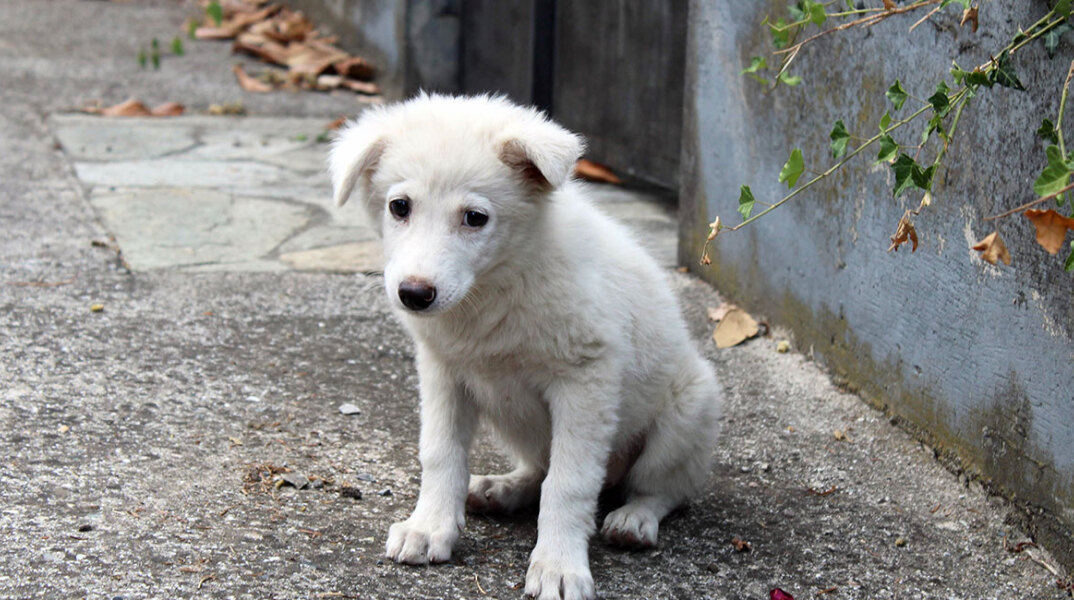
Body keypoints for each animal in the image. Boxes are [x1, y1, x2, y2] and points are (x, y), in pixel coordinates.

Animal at [328, 94, 721, 600]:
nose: (414, 294)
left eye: (475, 218)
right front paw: (429, 526)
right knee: (539, 467)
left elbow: (568, 483)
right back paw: (504, 488)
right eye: (399, 206)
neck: (497, 284)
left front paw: (558, 565)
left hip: (688, 410)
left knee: (664, 488)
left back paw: (634, 518)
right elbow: (440, 453)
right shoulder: (443, 372)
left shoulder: (585, 381)